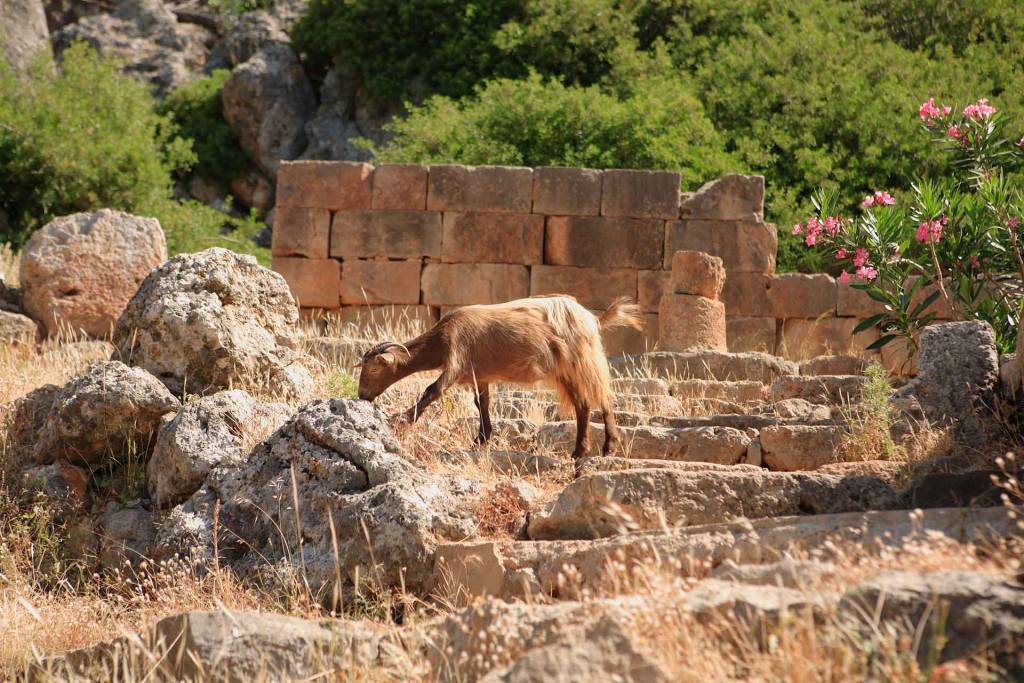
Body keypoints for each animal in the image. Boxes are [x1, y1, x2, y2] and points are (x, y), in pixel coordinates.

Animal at [355, 295, 642, 470]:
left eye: (373, 368)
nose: (362, 396)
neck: (442, 337)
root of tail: (593, 319)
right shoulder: (478, 374)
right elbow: (482, 403)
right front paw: (482, 438)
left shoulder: (457, 360)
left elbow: (432, 391)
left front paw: (401, 420)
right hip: (565, 371)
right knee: (583, 405)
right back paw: (579, 451)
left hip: (583, 359)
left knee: (603, 396)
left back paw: (608, 446)